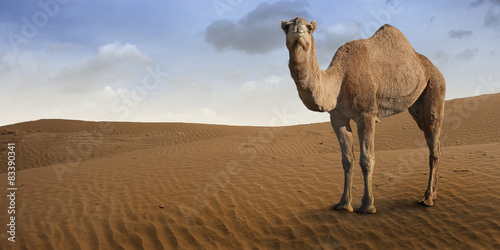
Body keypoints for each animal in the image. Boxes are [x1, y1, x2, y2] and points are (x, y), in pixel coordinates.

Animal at [280, 17, 448, 213]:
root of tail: (433, 68)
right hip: (417, 105)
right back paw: (433, 194)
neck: (339, 79)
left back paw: (427, 198)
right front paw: (343, 204)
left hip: (436, 87)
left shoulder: (366, 114)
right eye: (287, 27)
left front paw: (367, 205)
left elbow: (367, 159)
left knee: (434, 142)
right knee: (433, 141)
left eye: (309, 27)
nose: (297, 27)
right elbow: (347, 160)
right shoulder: (337, 118)